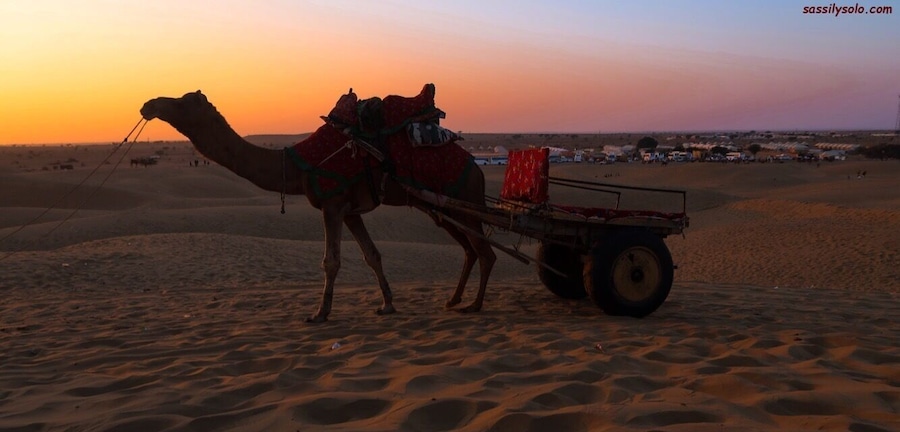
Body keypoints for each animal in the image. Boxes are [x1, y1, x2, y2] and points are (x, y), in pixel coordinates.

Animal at [140, 89, 496, 322]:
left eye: (183, 101)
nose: (148, 104)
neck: (296, 165)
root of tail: (478, 168)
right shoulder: (351, 211)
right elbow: (372, 255)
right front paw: (387, 304)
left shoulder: (333, 204)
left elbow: (331, 261)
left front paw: (320, 312)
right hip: (446, 208)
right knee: (470, 249)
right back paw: (454, 299)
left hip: (464, 198)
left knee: (485, 252)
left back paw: (475, 305)